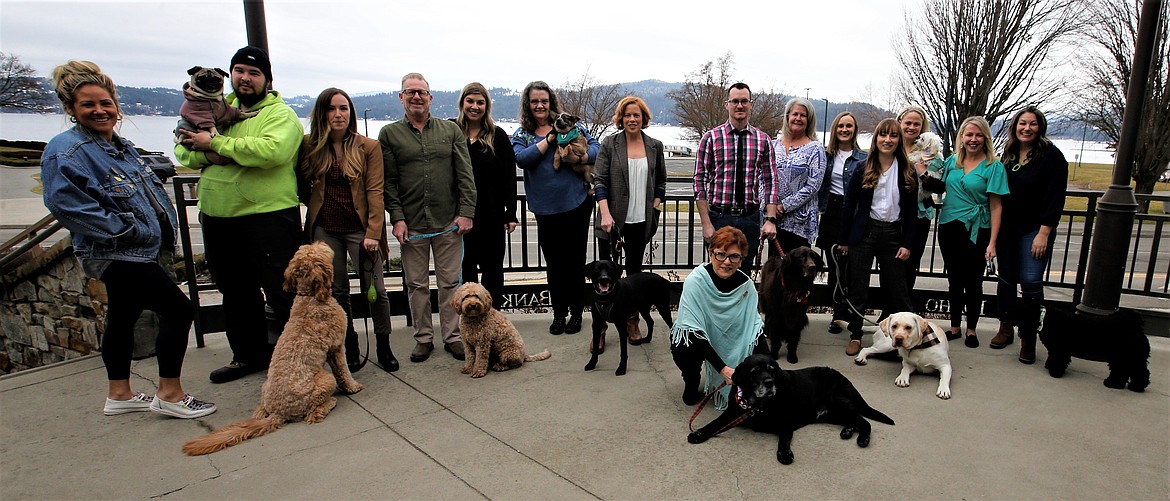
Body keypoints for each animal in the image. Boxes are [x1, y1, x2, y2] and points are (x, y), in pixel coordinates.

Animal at [177, 242, 358, 458]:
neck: (310, 297)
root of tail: (278, 412)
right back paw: (328, 403)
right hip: (324, 380)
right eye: (314, 250)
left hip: (265, 390)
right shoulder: (337, 346)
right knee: (313, 413)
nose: (320, 242)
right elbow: (343, 371)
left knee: (261, 410)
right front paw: (353, 387)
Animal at [687, 353, 889, 463]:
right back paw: (848, 431)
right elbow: (713, 424)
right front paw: (698, 433)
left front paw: (784, 453)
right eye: (755, 371)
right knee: (854, 419)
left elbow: (783, 439)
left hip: (837, 401)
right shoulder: (732, 412)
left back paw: (862, 438)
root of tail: (844, 377)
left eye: (771, 369)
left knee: (864, 421)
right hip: (830, 413)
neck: (758, 403)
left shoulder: (785, 421)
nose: (769, 383)